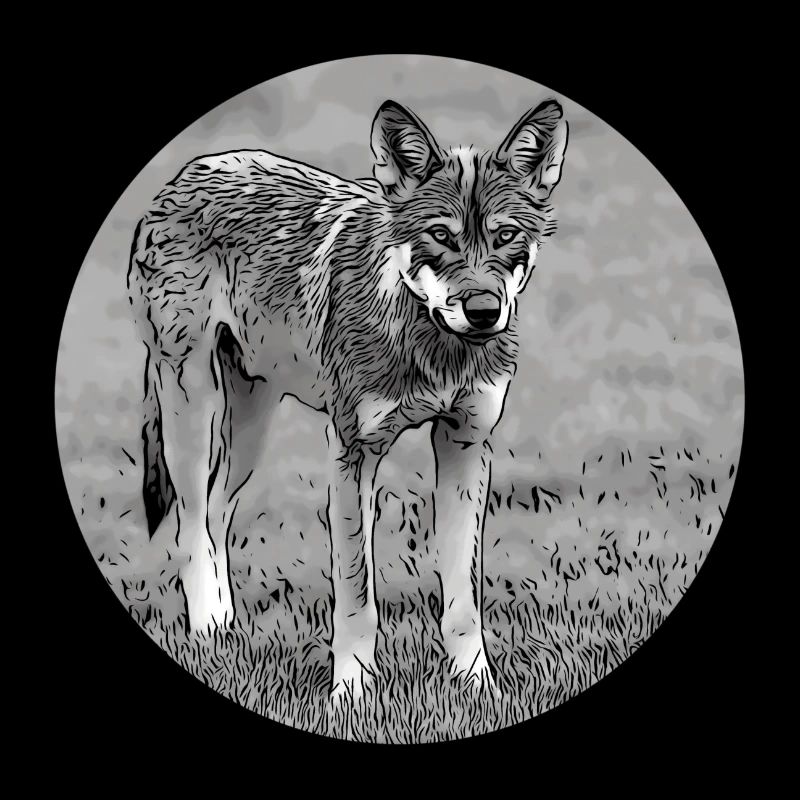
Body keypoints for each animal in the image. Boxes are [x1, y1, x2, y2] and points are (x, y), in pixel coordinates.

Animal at [127, 98, 568, 697]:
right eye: (441, 235)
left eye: (505, 237)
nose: (483, 311)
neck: (432, 348)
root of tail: (184, 173)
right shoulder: (352, 456)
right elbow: (357, 599)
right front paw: (352, 693)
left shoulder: (466, 447)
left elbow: (462, 601)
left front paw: (478, 688)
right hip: (192, 410)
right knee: (190, 522)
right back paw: (205, 634)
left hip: (251, 431)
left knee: (216, 513)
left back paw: (226, 631)